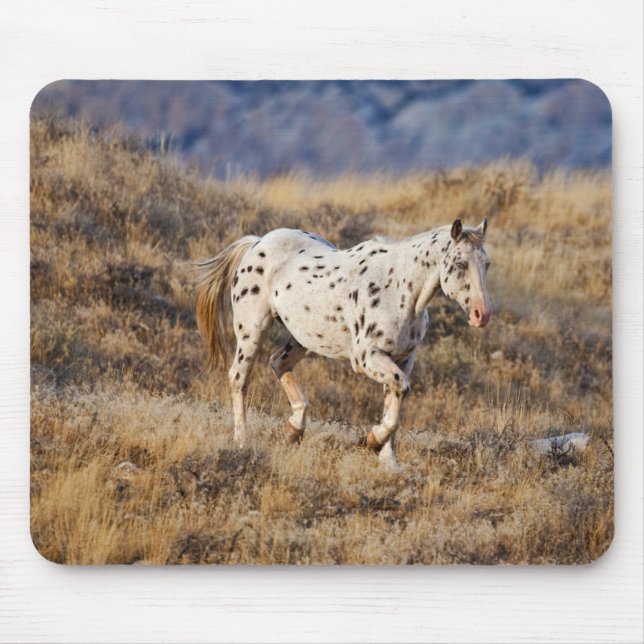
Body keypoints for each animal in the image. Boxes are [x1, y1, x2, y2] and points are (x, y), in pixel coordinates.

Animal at [196, 218, 493, 469]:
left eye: (486, 264)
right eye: (459, 264)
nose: (483, 314)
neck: (400, 288)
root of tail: (257, 242)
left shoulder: (403, 359)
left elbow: (395, 400)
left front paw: (389, 462)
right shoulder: (366, 357)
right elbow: (399, 392)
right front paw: (373, 440)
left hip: (302, 337)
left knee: (278, 362)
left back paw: (294, 429)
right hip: (252, 330)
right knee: (239, 378)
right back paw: (242, 441)